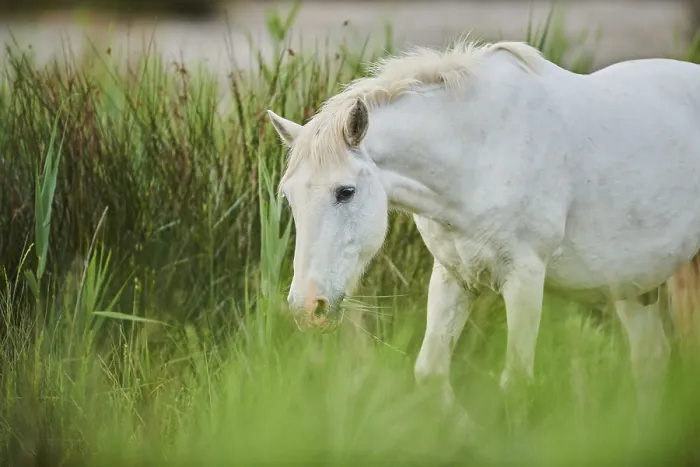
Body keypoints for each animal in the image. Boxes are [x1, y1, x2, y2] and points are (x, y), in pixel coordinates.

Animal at [266, 39, 700, 429]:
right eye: (289, 197)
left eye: (346, 192)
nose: (308, 307)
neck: (478, 152)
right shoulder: (454, 276)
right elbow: (430, 373)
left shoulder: (524, 278)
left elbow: (516, 384)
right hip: (632, 287)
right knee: (651, 360)